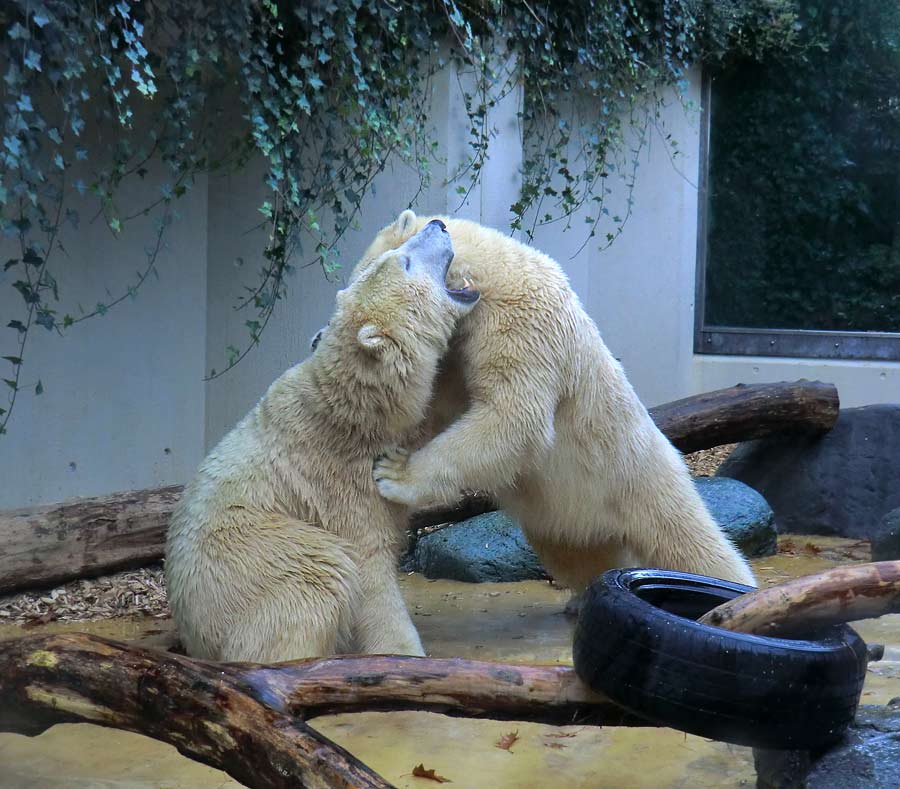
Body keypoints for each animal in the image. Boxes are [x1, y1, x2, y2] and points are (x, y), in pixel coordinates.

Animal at [166, 219, 482, 660]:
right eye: (403, 261)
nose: (439, 224)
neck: (351, 407)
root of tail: (194, 636)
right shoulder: (341, 481)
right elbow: (370, 569)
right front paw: (404, 653)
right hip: (254, 554)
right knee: (316, 572)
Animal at [362, 208, 756, 592]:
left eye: (386, 268)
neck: (494, 272)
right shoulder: (456, 354)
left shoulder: (522, 323)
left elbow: (514, 418)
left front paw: (395, 473)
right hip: (566, 512)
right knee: (576, 554)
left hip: (635, 476)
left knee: (692, 544)